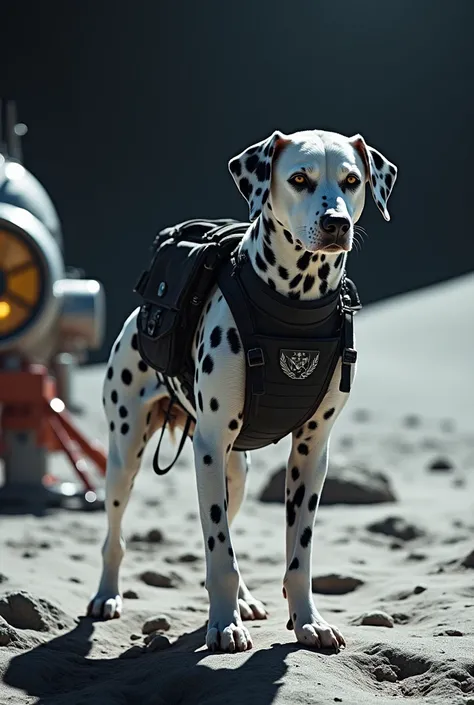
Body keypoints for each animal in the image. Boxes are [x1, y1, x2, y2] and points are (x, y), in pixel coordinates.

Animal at [88, 128, 396, 656]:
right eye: (299, 179)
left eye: (352, 180)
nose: (335, 223)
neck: (292, 308)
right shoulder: (209, 446)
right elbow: (219, 554)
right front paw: (223, 625)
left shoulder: (312, 453)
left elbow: (297, 556)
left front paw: (307, 621)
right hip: (126, 453)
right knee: (116, 534)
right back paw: (108, 595)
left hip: (237, 470)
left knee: (228, 525)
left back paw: (246, 600)